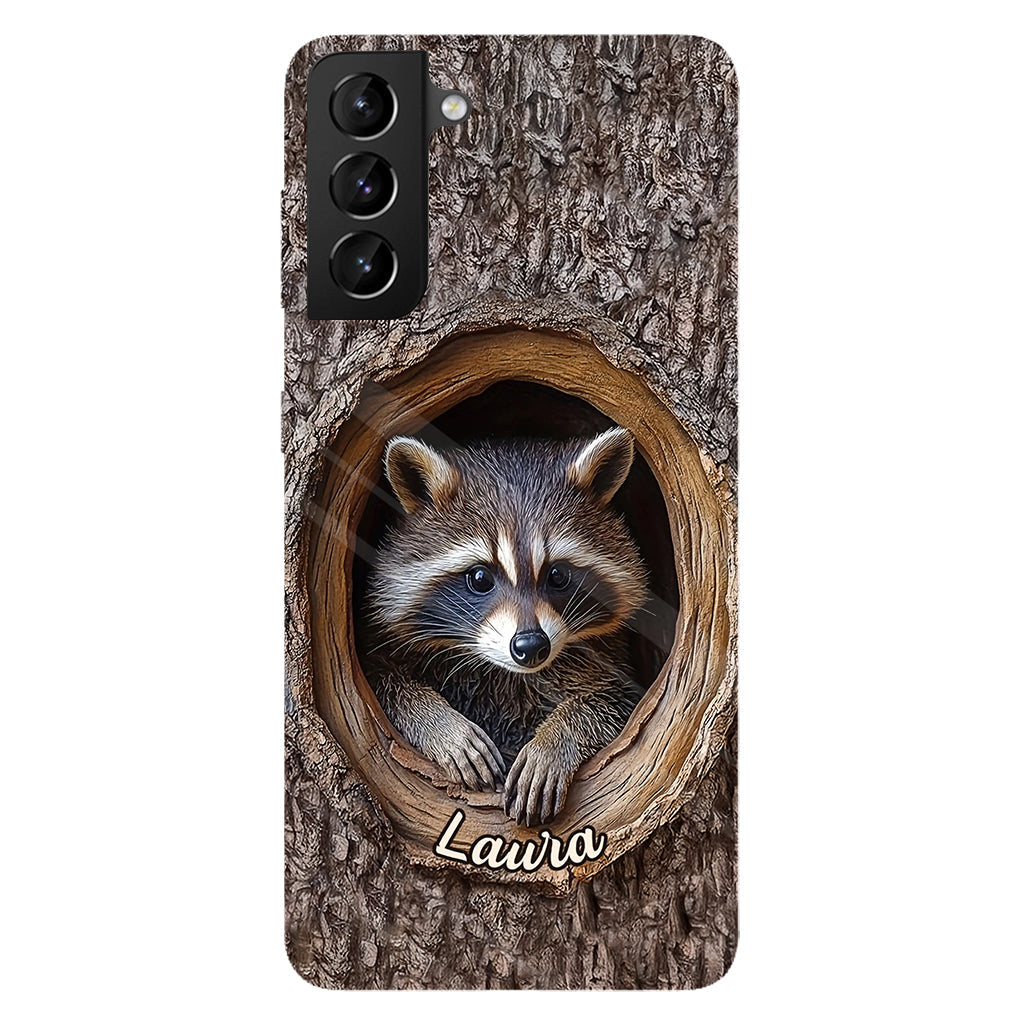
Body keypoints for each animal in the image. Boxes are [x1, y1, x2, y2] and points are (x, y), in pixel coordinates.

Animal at [364, 426, 648, 827]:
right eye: (480, 577)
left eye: (557, 575)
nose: (530, 646)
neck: (505, 673)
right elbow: (384, 680)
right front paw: (441, 724)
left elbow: (613, 701)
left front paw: (554, 740)